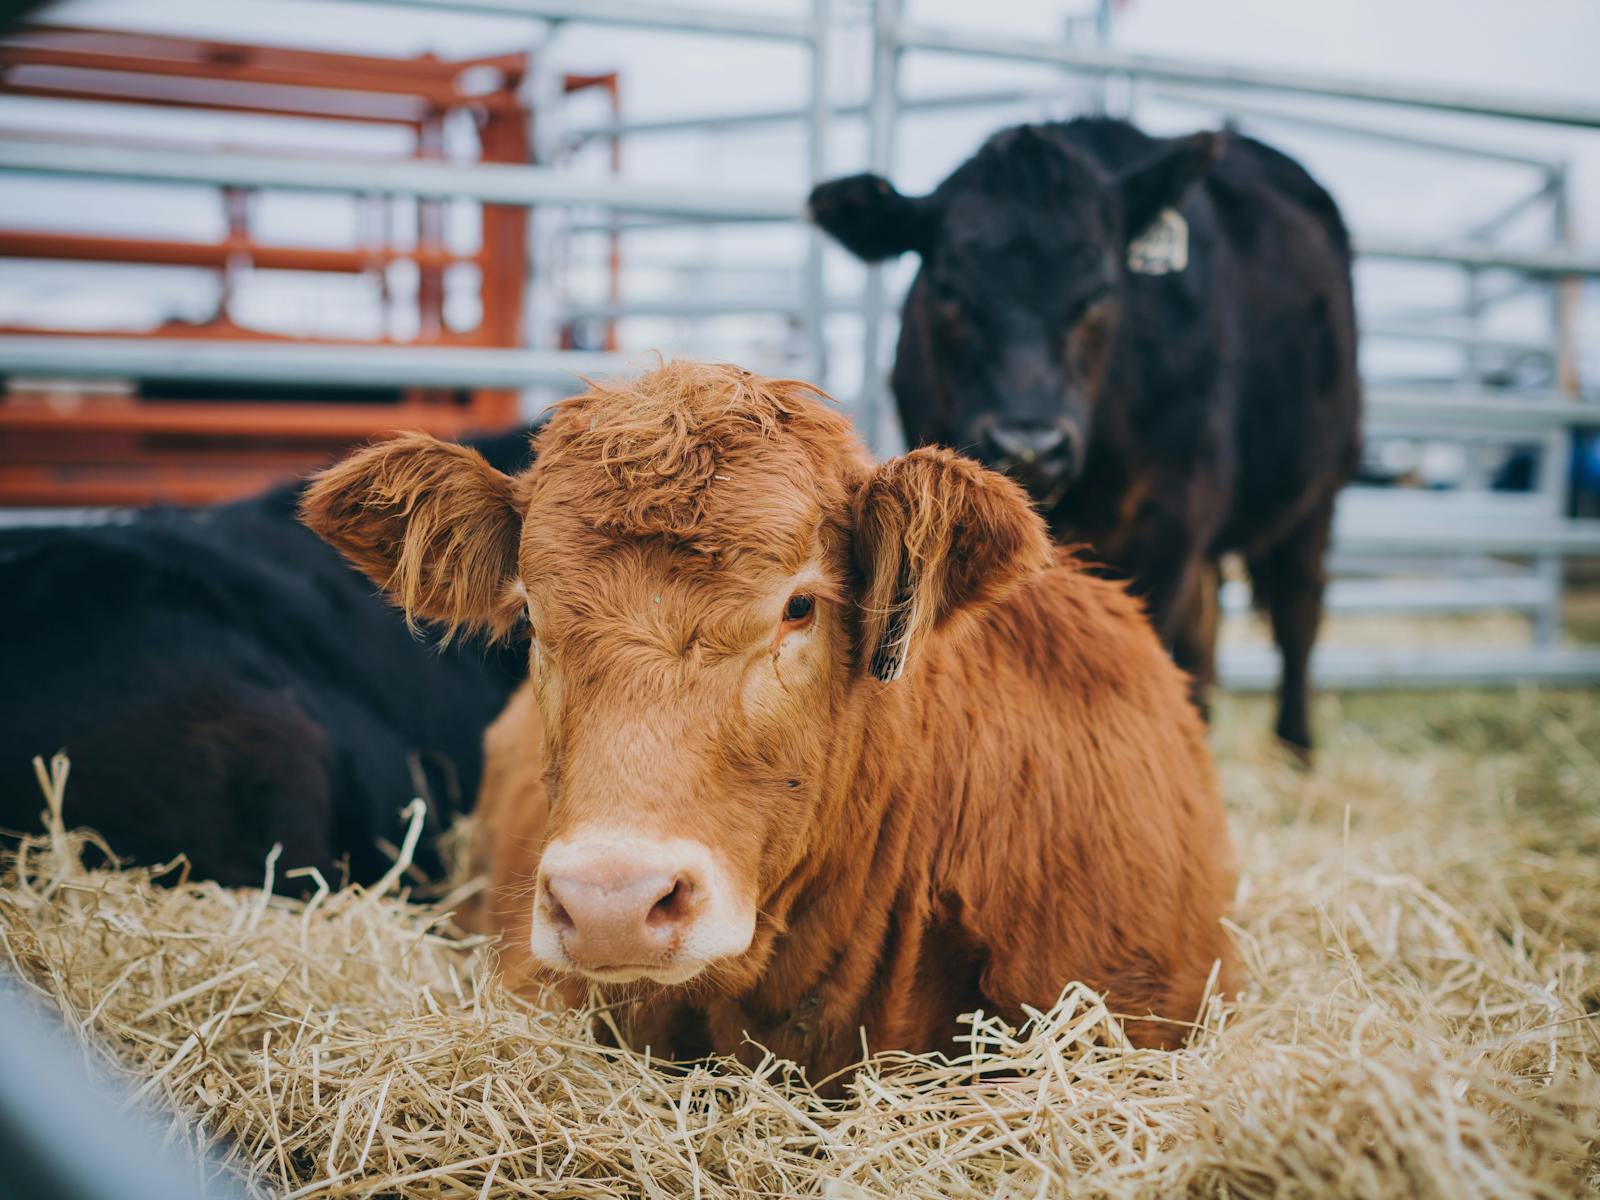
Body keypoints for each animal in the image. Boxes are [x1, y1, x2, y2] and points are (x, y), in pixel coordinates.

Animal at [808, 117, 1362, 756]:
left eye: (1099, 291)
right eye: (947, 288)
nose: (1029, 444)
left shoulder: (1171, 522)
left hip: (1319, 492)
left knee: (1299, 607)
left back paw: (1294, 742)